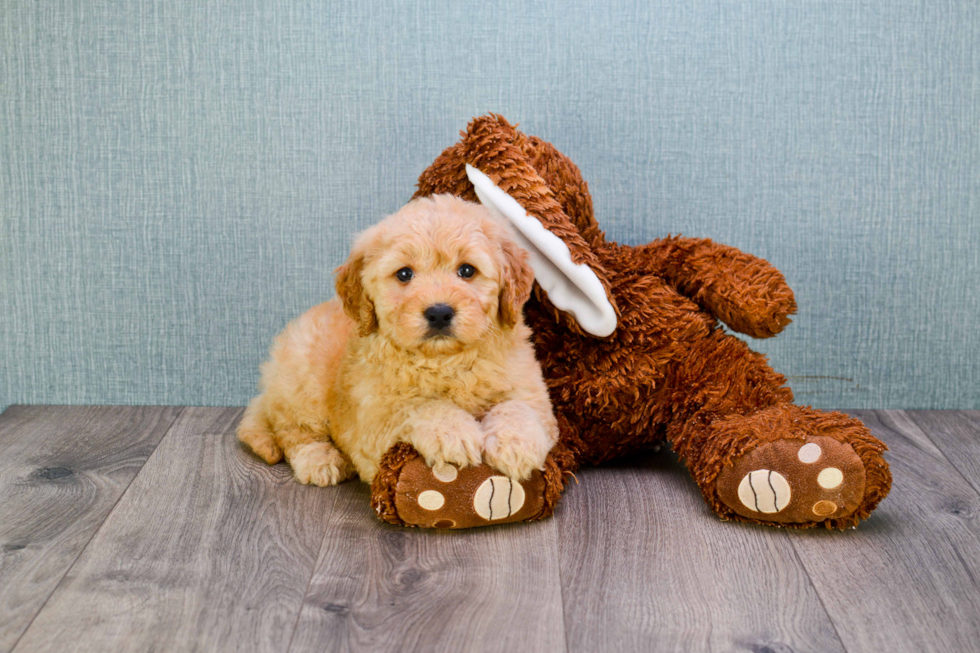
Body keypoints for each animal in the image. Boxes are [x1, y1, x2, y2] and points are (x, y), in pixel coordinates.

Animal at [237, 196, 560, 486]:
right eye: (404, 274)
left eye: (467, 270)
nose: (439, 312)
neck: (446, 361)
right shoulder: (372, 422)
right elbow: (418, 406)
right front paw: (453, 433)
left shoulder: (532, 391)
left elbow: (520, 408)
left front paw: (517, 444)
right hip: (301, 384)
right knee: (293, 432)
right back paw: (320, 460)